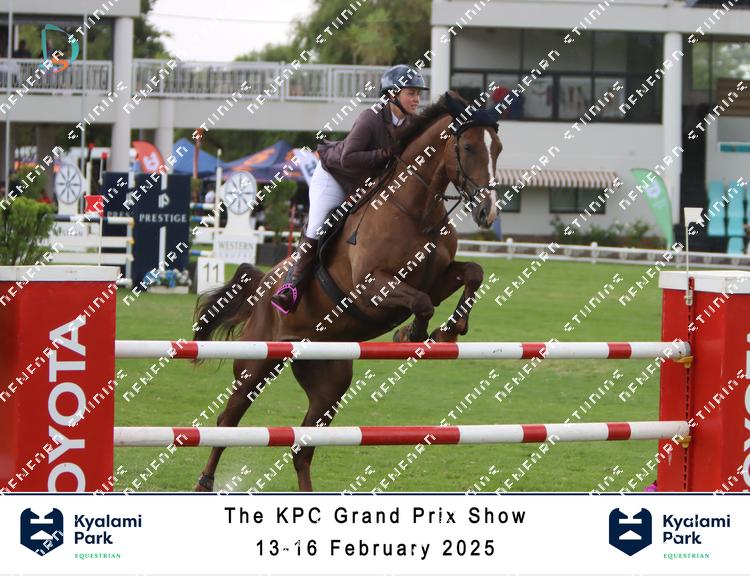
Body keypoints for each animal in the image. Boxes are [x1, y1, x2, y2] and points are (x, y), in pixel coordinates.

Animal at [192, 92, 503, 491]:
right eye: (467, 147)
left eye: (498, 148)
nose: (487, 213)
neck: (416, 210)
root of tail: (262, 287)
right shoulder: (372, 287)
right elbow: (421, 303)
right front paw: (411, 335)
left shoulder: (436, 279)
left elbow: (472, 274)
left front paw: (450, 332)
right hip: (256, 364)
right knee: (227, 422)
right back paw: (204, 482)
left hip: (329, 380)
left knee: (302, 448)